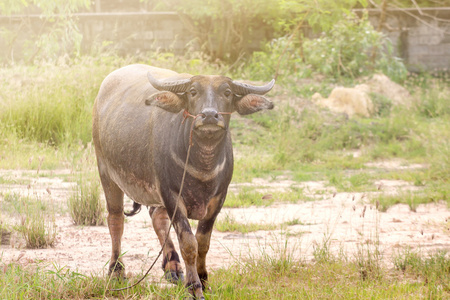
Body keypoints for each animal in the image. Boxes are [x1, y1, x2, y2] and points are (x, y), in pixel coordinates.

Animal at [92, 64, 274, 298]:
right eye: (193, 91)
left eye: (227, 92)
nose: (209, 115)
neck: (203, 165)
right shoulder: (171, 195)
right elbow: (189, 243)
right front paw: (194, 287)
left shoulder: (218, 199)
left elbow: (203, 242)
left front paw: (204, 279)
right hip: (106, 172)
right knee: (115, 219)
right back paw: (116, 271)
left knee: (157, 217)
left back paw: (172, 268)